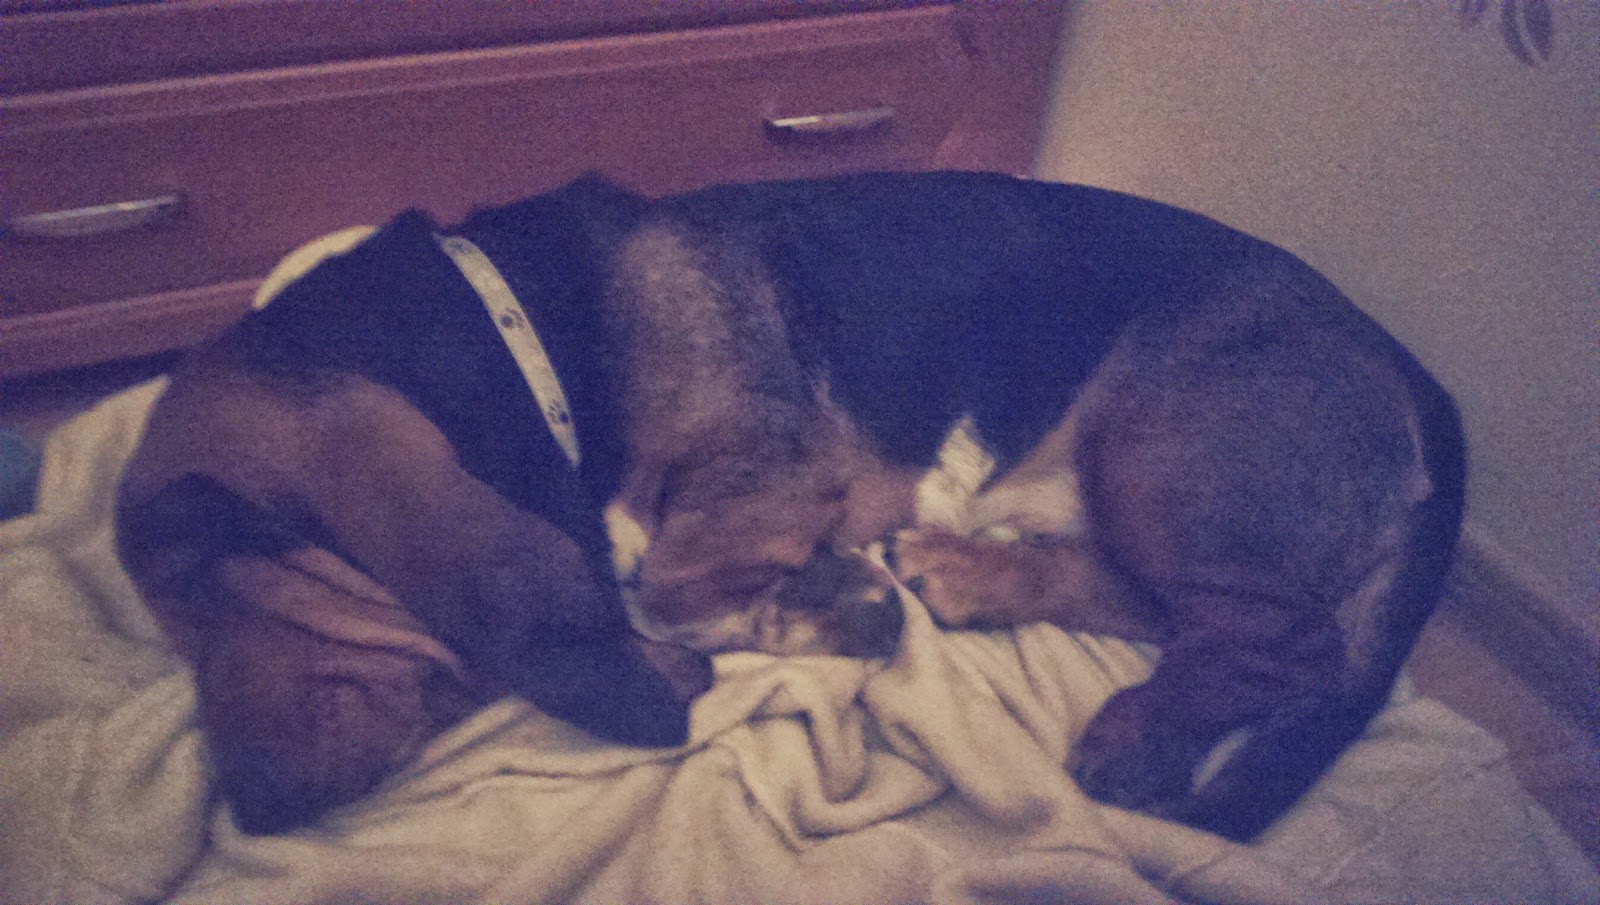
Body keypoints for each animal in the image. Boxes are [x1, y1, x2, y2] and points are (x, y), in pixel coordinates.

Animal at [115, 172, 1463, 841]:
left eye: (216, 579)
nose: (251, 812)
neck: (528, 337)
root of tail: (1404, 361)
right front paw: (821, 599)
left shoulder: (766, 474)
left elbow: (669, 583)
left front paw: (809, 605)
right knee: (1162, 605)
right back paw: (971, 576)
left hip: (1160, 449)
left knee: (1284, 644)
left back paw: (1149, 731)